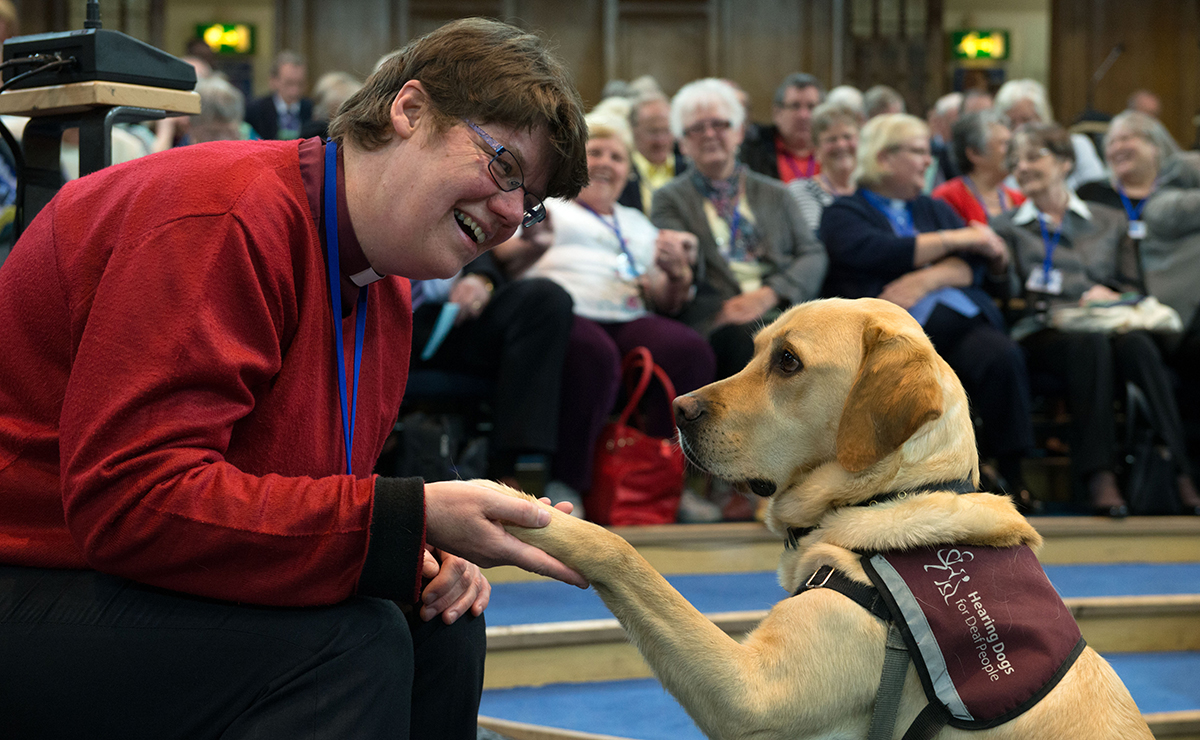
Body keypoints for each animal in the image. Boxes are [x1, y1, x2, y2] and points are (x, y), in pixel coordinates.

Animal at [492, 297, 1147, 734]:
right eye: (756, 351)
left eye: (787, 362)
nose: (678, 409)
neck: (885, 497)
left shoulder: (750, 694)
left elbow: (624, 553)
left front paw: (524, 510)